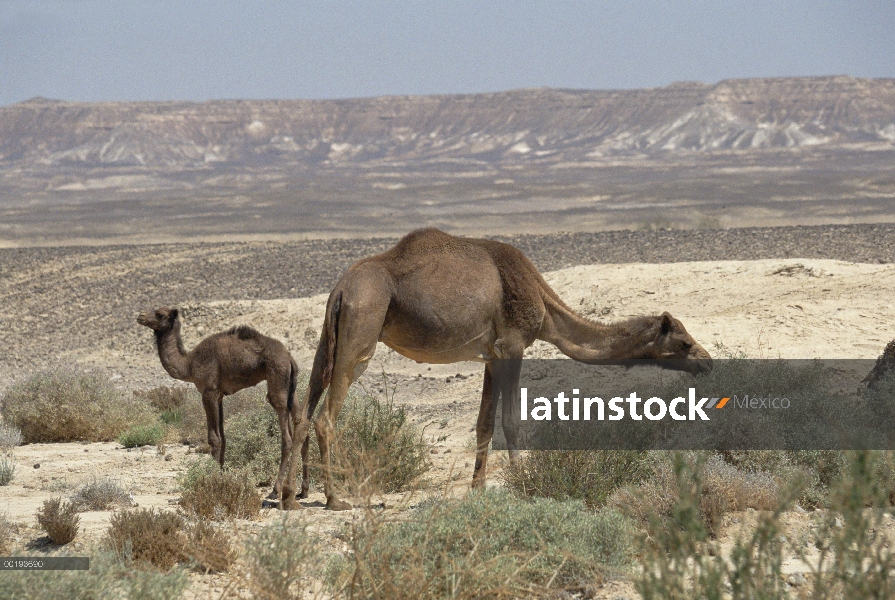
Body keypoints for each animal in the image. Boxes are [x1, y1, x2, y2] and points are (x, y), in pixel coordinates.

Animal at [138, 308, 300, 500]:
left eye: (160, 314)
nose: (140, 316)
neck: (189, 363)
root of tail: (289, 357)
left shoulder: (208, 392)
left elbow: (213, 438)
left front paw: (211, 480)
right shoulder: (220, 395)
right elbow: (222, 437)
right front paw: (221, 478)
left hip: (277, 376)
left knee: (286, 434)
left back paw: (275, 491)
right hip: (290, 386)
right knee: (299, 419)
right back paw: (295, 489)